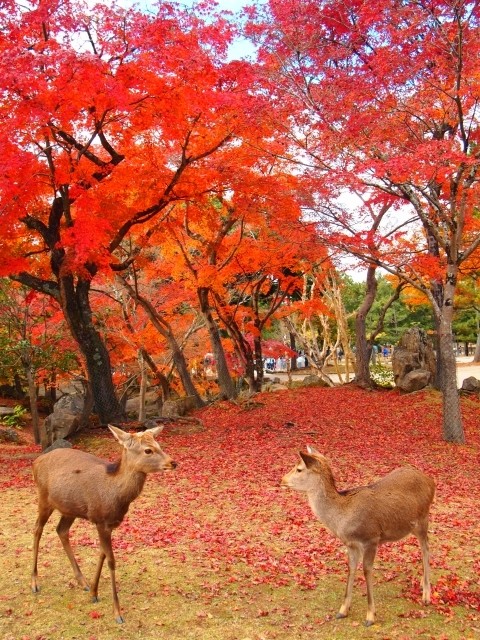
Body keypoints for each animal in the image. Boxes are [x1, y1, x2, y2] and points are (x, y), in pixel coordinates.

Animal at [31, 424, 177, 623]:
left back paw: (82, 581)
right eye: (148, 450)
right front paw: (117, 613)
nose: (173, 463)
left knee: (61, 530)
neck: (116, 496)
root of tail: (36, 462)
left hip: (69, 509)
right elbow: (111, 560)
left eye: (159, 444)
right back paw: (34, 582)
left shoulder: (108, 524)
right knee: (37, 529)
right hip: (44, 497)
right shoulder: (101, 522)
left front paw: (94, 592)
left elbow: (101, 553)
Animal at [281, 446, 435, 626]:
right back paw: (421, 583)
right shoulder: (351, 544)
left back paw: (426, 595)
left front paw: (370, 616)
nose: (282, 480)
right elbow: (351, 568)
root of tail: (431, 481)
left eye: (299, 469)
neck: (343, 519)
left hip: (423, 518)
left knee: (426, 548)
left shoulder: (371, 538)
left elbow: (367, 570)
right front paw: (343, 610)